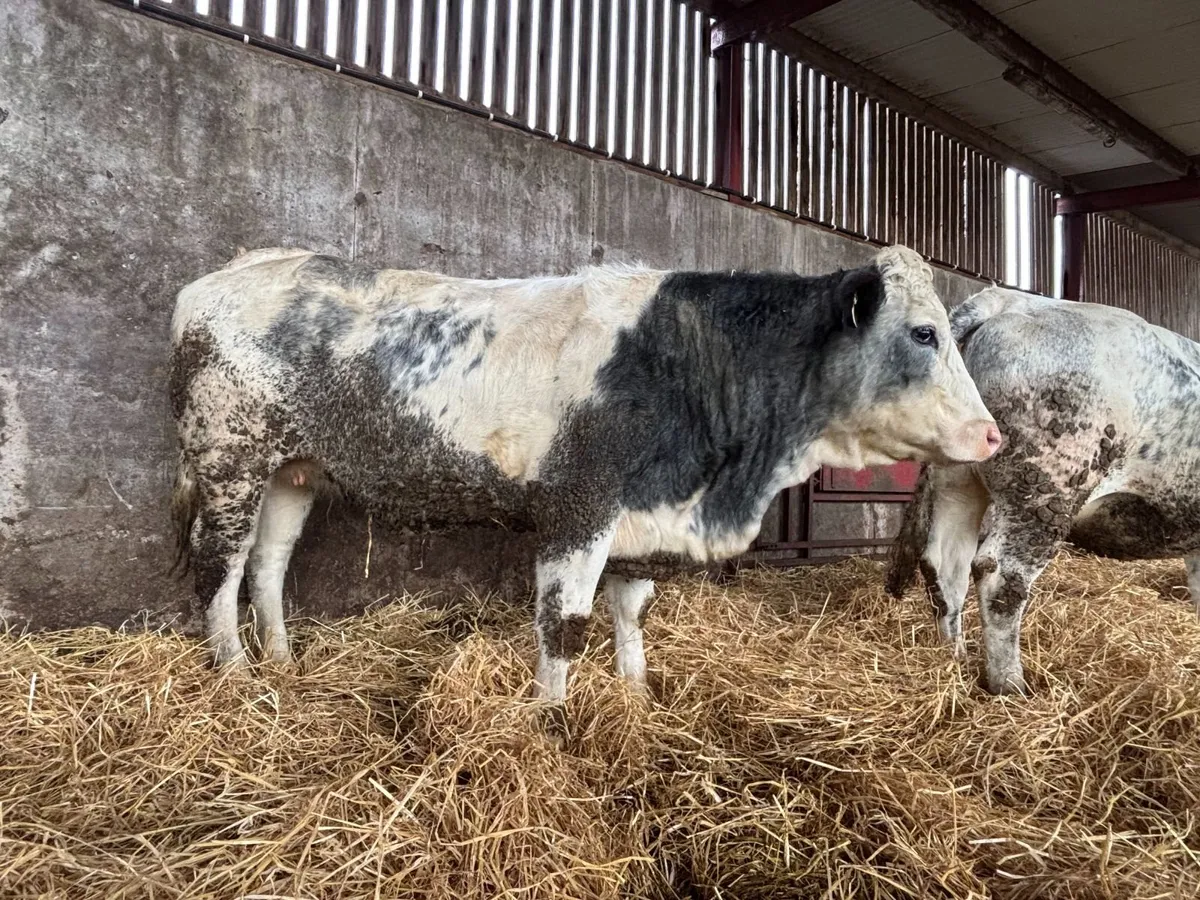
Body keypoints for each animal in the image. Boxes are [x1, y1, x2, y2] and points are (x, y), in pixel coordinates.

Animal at [169, 245, 1000, 732]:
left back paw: (280, 662)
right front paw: (552, 719)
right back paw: (235, 672)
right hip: (227, 459)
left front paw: (637, 695)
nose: (993, 434)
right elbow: (564, 624)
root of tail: (238, 268)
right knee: (220, 566)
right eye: (924, 332)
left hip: (293, 472)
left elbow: (631, 612)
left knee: (269, 563)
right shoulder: (579, 511)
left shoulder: (642, 519)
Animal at [887, 285, 1200, 696]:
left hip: (957, 481)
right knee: (1001, 577)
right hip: (1044, 490)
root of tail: (1010, 300)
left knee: (945, 566)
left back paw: (954, 661)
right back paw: (1011, 684)